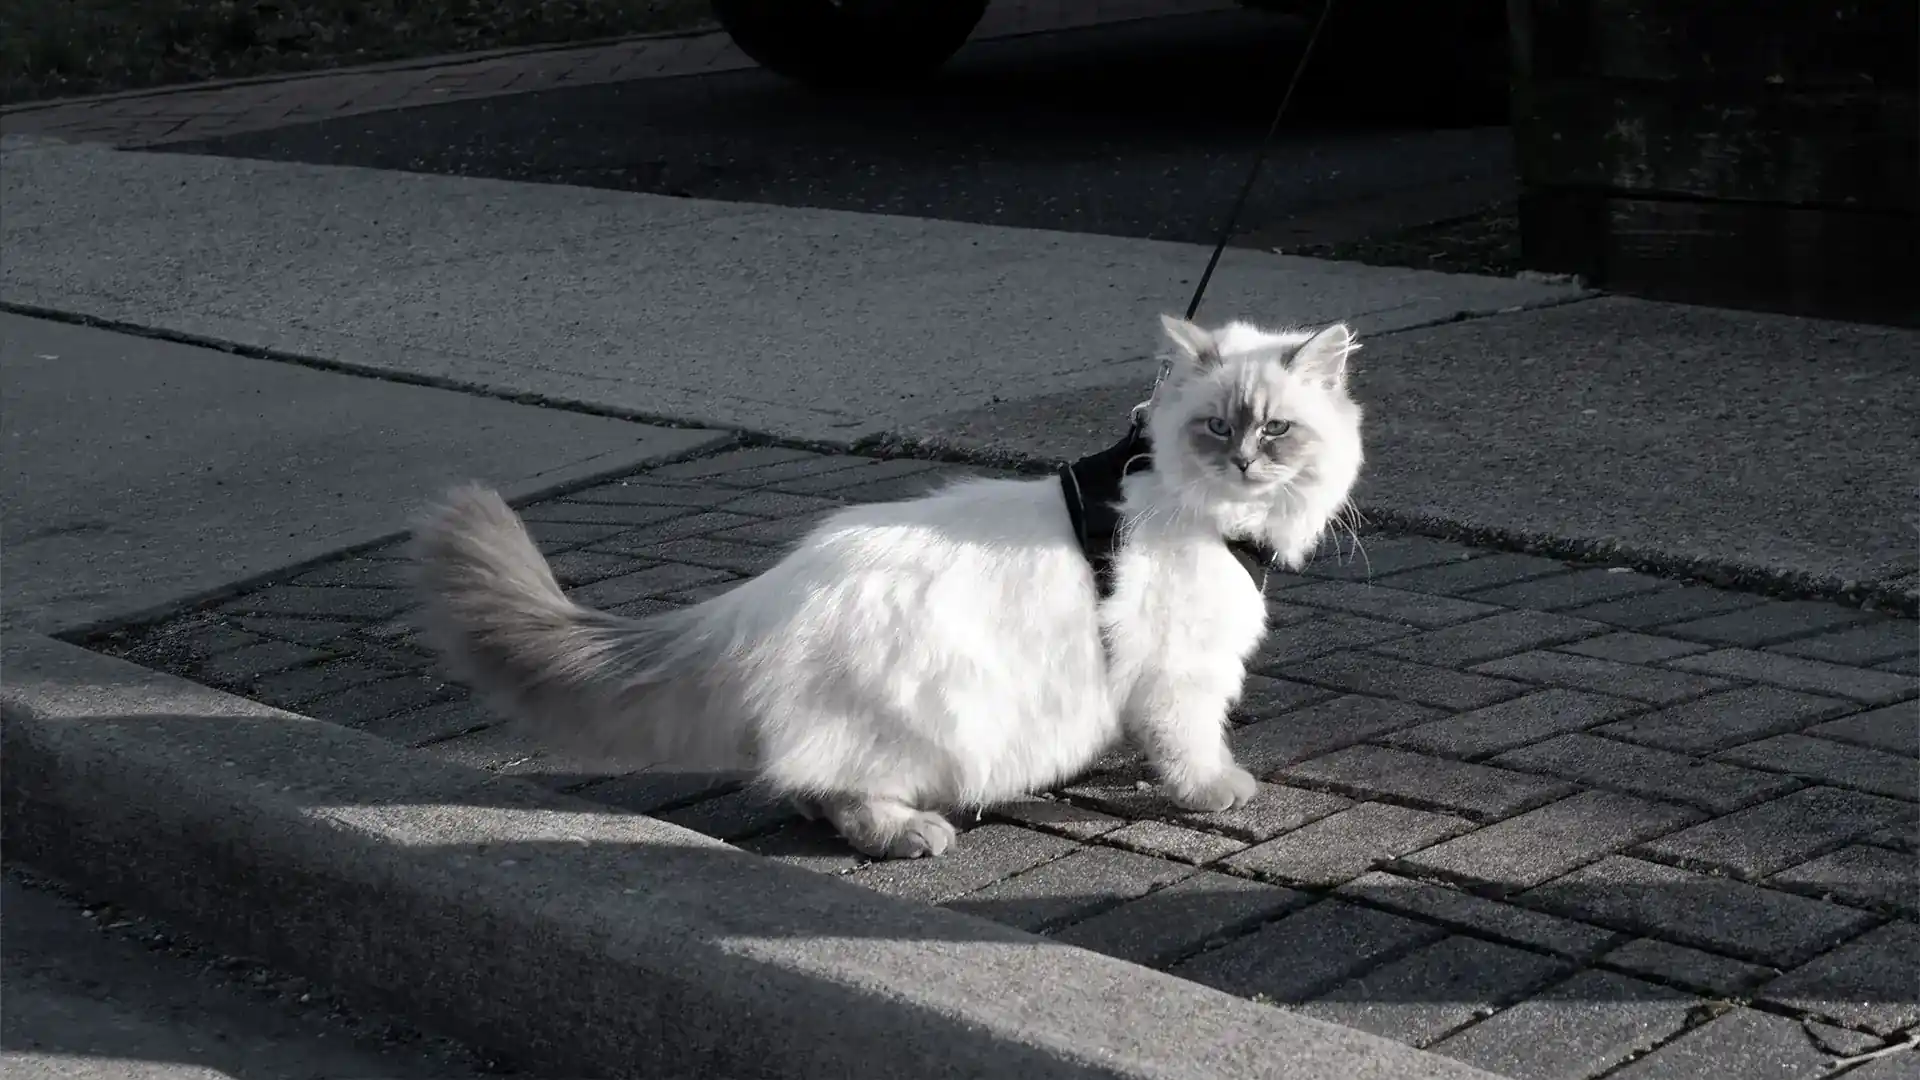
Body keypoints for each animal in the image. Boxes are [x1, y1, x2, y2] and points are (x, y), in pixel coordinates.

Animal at [408, 313, 1367, 857]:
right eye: (1218, 429)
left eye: (1277, 430)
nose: (1245, 463)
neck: (1199, 508)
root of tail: (769, 590)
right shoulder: (1183, 673)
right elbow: (1192, 746)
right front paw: (1215, 789)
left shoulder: (1155, 676)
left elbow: (1153, 737)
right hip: (920, 722)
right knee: (824, 786)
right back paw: (907, 833)